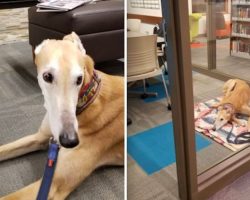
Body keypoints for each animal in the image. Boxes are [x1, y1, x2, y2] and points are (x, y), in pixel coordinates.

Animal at [0, 32, 124, 199]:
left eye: (79, 79)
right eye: (47, 76)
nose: (70, 141)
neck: (87, 101)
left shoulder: (54, 184)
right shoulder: (40, 137)